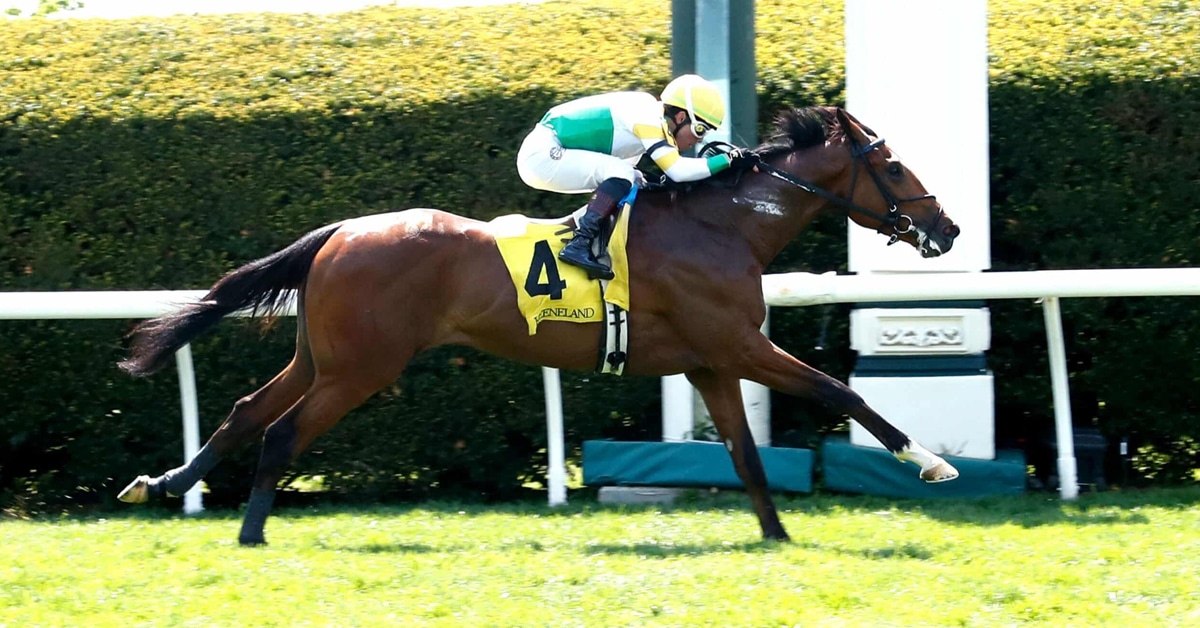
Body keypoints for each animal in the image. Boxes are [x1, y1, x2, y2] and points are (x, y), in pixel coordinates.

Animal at [117, 106, 962, 546]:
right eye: (892, 165)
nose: (946, 229)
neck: (723, 224)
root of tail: (342, 231)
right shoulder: (741, 344)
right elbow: (842, 394)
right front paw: (928, 462)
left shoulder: (711, 362)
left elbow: (749, 457)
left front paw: (777, 536)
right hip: (363, 367)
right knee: (282, 432)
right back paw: (250, 534)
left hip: (321, 356)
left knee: (245, 411)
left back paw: (164, 483)